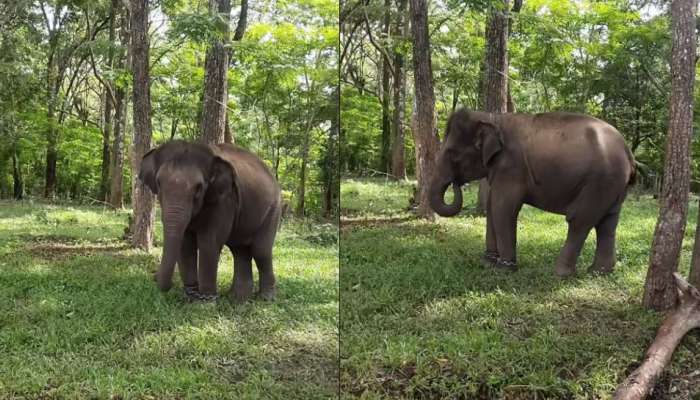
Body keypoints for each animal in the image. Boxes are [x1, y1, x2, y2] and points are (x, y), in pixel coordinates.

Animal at [139, 142, 282, 302]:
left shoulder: (224, 200)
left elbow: (209, 242)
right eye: (158, 183)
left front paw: (206, 301)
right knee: (240, 250)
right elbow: (185, 243)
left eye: (199, 187)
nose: (154, 277)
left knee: (260, 250)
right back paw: (238, 299)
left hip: (273, 209)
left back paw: (266, 298)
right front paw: (191, 296)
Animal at [430, 109, 636, 278]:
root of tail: (628, 152)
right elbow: (492, 206)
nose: (456, 183)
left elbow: (503, 208)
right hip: (613, 186)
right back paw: (599, 272)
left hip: (599, 182)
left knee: (580, 221)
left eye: (453, 153)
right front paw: (488, 261)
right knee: (608, 223)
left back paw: (561, 274)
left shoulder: (511, 168)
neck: (493, 118)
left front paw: (505, 268)